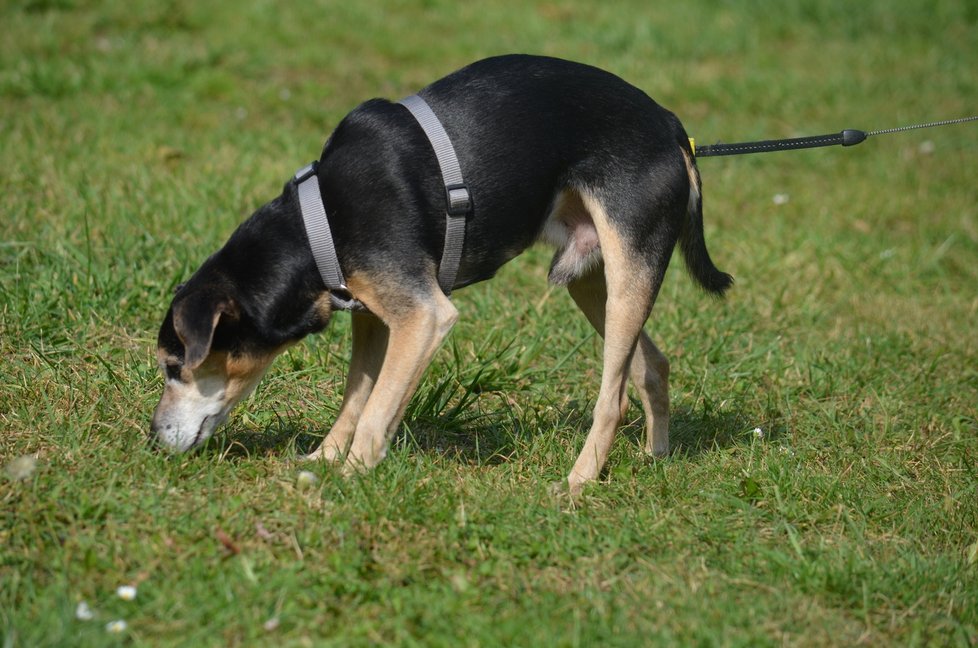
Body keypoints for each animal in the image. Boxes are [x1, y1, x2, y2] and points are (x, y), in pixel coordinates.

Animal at [151, 55, 732, 494]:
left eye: (173, 365)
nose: (154, 437)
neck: (320, 224)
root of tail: (672, 126)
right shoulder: (373, 316)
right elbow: (357, 397)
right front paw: (324, 460)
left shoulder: (423, 316)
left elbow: (376, 410)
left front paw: (351, 477)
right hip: (593, 277)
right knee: (651, 364)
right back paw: (655, 459)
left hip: (630, 263)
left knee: (612, 397)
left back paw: (579, 483)